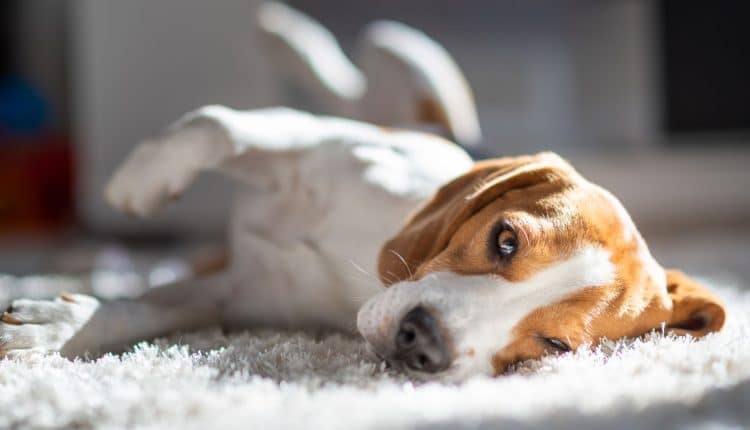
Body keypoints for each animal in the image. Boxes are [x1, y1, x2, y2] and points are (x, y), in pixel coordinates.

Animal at [0, 5, 728, 382]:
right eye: (505, 238)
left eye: (555, 346)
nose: (422, 344)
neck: (360, 264)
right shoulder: (312, 140)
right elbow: (217, 124)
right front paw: (140, 183)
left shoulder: (235, 294)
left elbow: (142, 311)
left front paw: (53, 328)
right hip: (401, 72)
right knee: (358, 69)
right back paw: (286, 35)